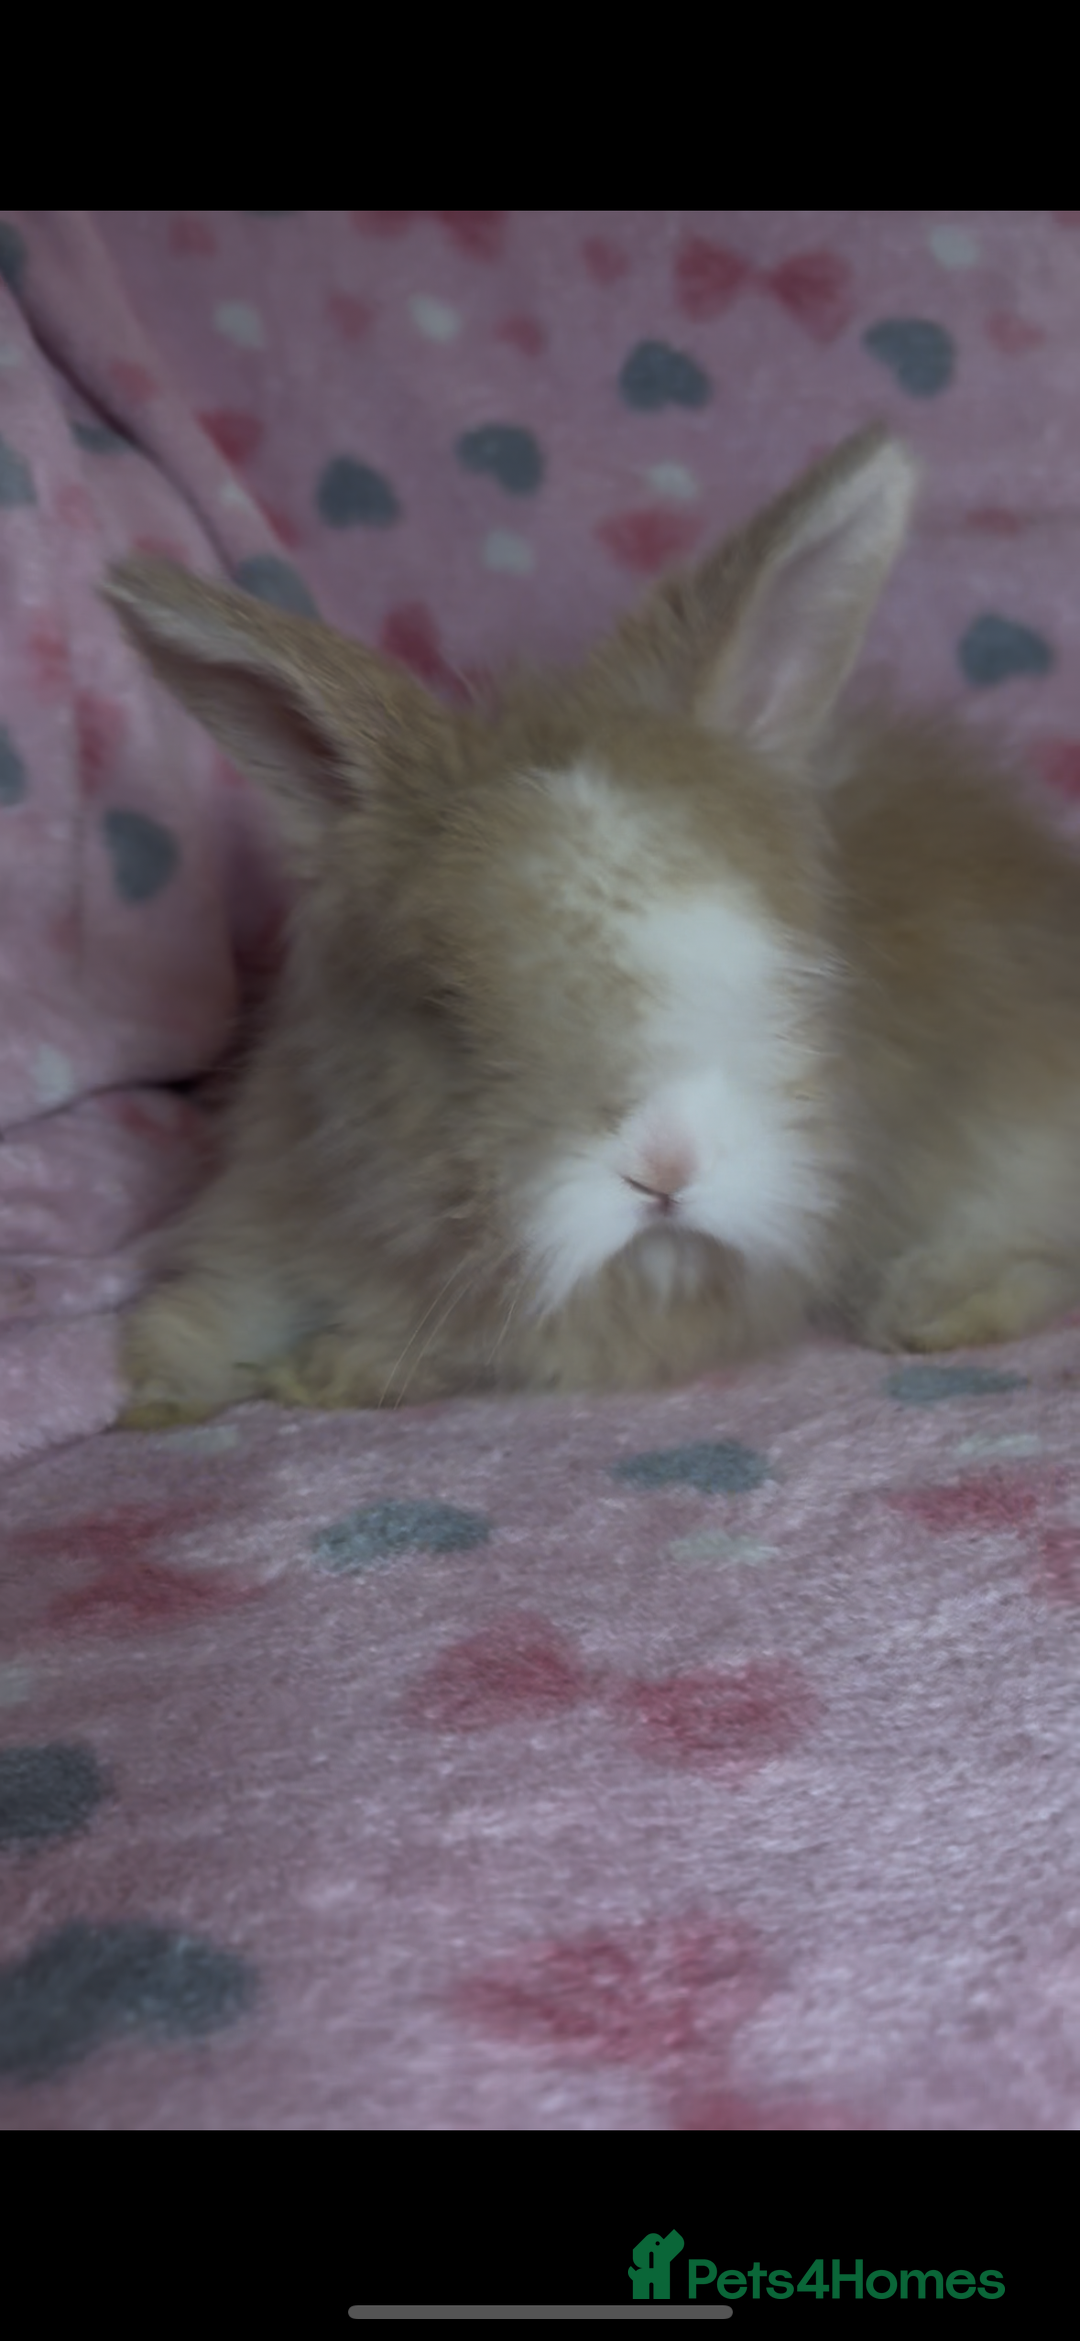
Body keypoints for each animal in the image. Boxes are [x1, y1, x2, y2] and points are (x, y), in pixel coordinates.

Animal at [102, 424, 1080, 1426]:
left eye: (784, 968)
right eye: (445, 1008)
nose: (667, 1168)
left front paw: (333, 1369)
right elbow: (220, 1303)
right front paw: (167, 1389)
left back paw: (927, 1308)